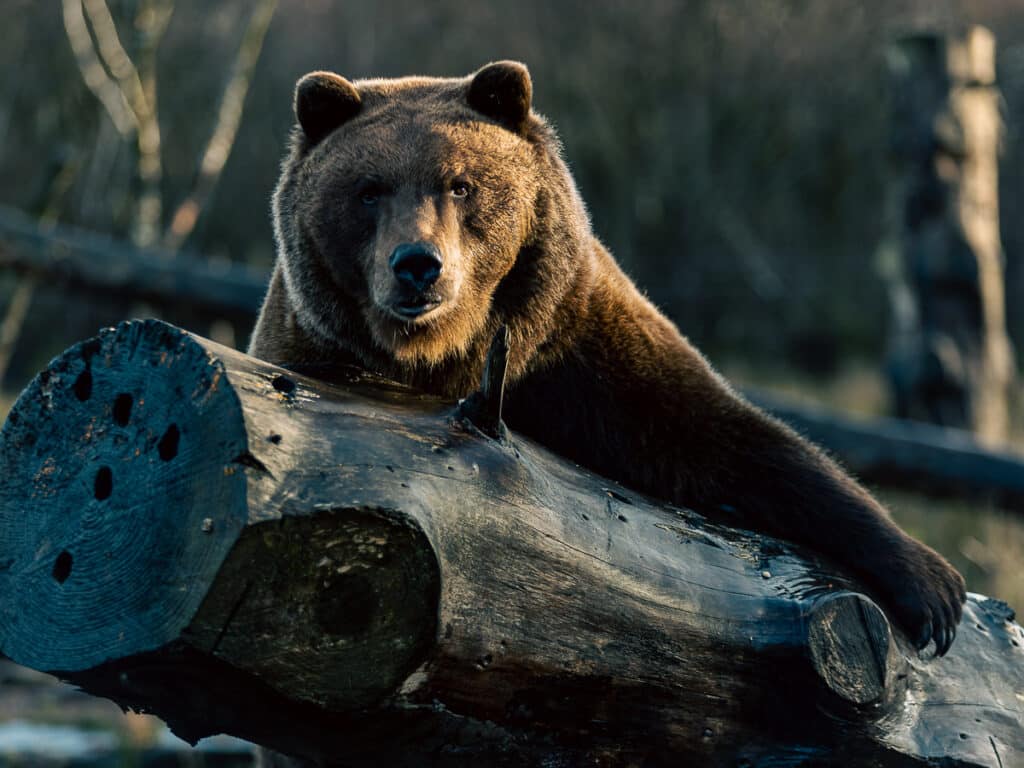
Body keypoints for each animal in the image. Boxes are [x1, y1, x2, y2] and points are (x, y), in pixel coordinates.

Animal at [249, 61, 966, 656]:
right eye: (369, 189)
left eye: (461, 185)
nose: (418, 265)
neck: (450, 350)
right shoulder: (312, 352)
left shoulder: (576, 347)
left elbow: (732, 443)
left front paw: (932, 587)